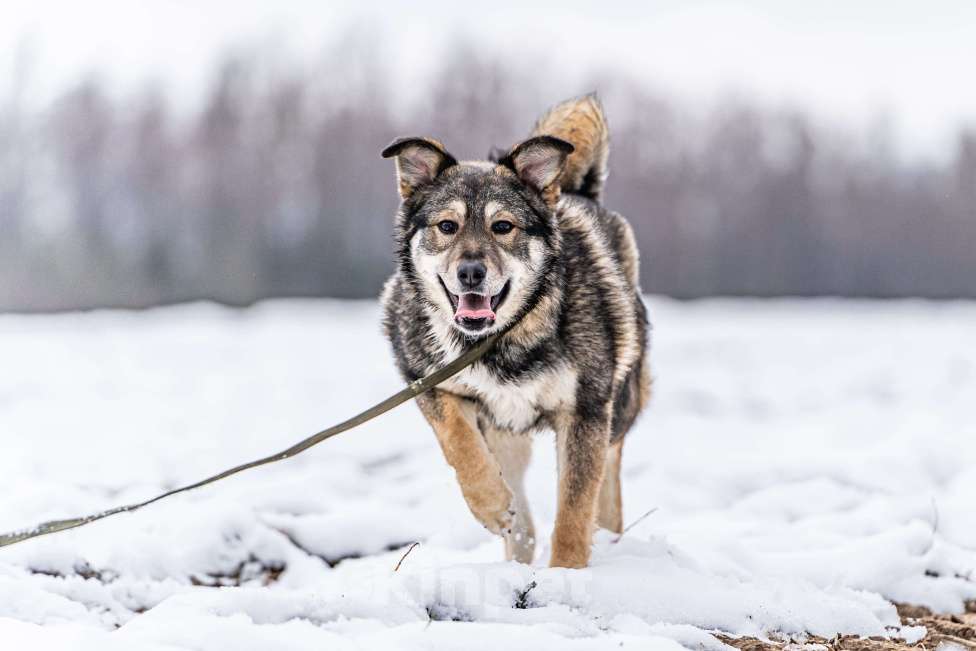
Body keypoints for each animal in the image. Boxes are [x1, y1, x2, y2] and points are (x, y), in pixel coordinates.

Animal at [380, 94, 648, 568]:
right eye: (446, 226)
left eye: (502, 226)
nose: (470, 272)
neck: (502, 340)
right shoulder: (426, 380)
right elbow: (460, 443)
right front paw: (490, 505)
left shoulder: (585, 411)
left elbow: (575, 508)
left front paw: (567, 573)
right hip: (506, 432)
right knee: (523, 520)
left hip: (619, 404)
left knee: (607, 484)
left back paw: (609, 538)